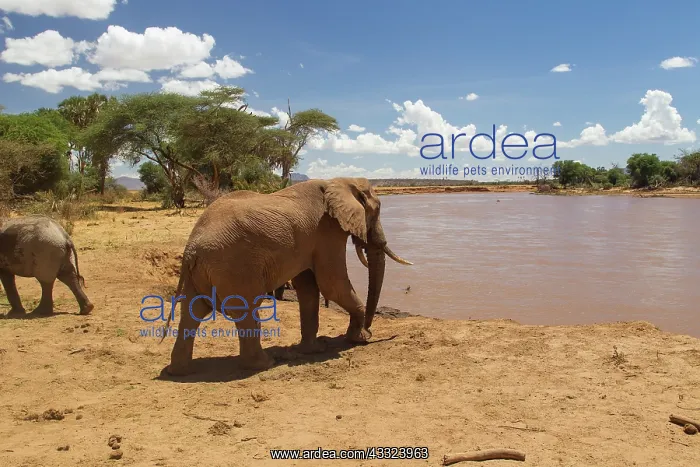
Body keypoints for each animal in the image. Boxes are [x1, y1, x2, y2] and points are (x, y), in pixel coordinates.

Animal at [162, 177, 412, 375]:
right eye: (376, 212)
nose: (370, 330)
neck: (341, 181)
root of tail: (190, 250)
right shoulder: (327, 231)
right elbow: (331, 283)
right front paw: (357, 339)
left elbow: (309, 288)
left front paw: (315, 350)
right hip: (234, 269)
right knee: (246, 311)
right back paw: (265, 364)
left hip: (202, 274)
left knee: (192, 313)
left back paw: (180, 371)